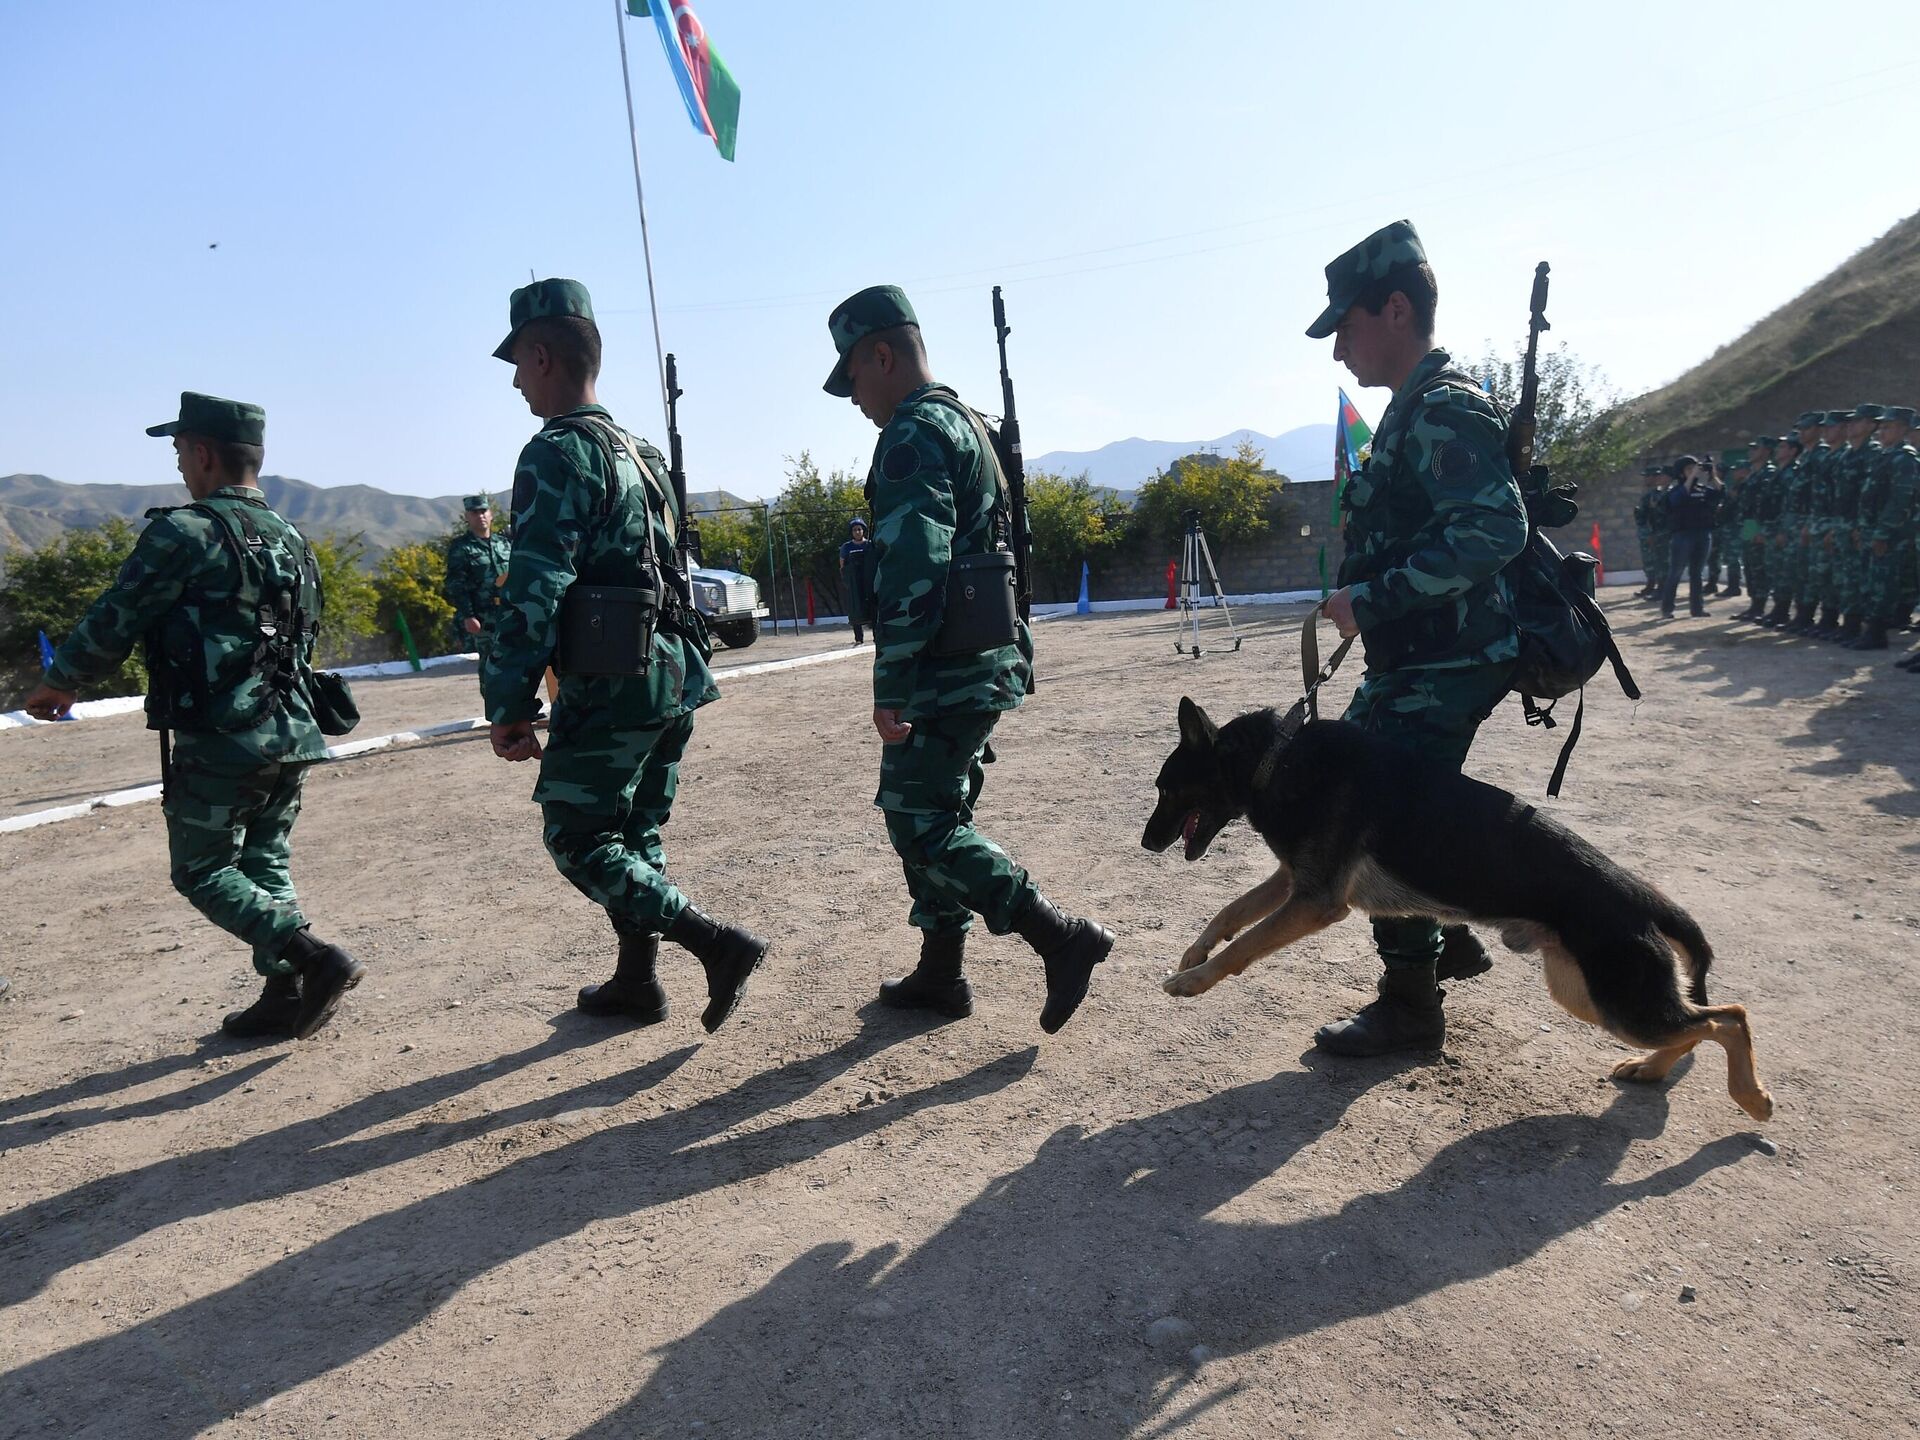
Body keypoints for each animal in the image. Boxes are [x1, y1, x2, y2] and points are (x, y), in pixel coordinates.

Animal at [1136, 698, 1766, 1128]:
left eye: (1166, 789)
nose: (1145, 844)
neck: (1278, 758)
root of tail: (1641, 900)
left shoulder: (1315, 902)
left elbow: (1245, 944)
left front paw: (1194, 981)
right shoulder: (1294, 881)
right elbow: (1230, 913)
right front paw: (1194, 954)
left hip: (1617, 1003)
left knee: (1727, 1018)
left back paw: (1750, 1096)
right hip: (1581, 993)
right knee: (1700, 1023)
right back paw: (1652, 1070)